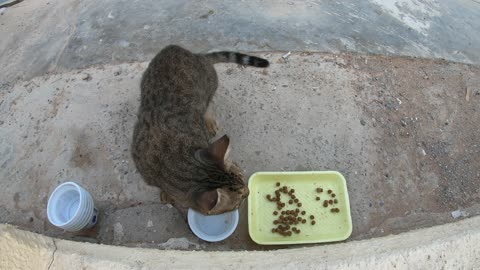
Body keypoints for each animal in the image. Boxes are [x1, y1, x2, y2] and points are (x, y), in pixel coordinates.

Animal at [129, 45, 268, 216]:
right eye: (240, 198)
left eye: (242, 177)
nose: (248, 191)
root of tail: (197, 55)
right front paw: (166, 193)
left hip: (209, 89)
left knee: (207, 106)